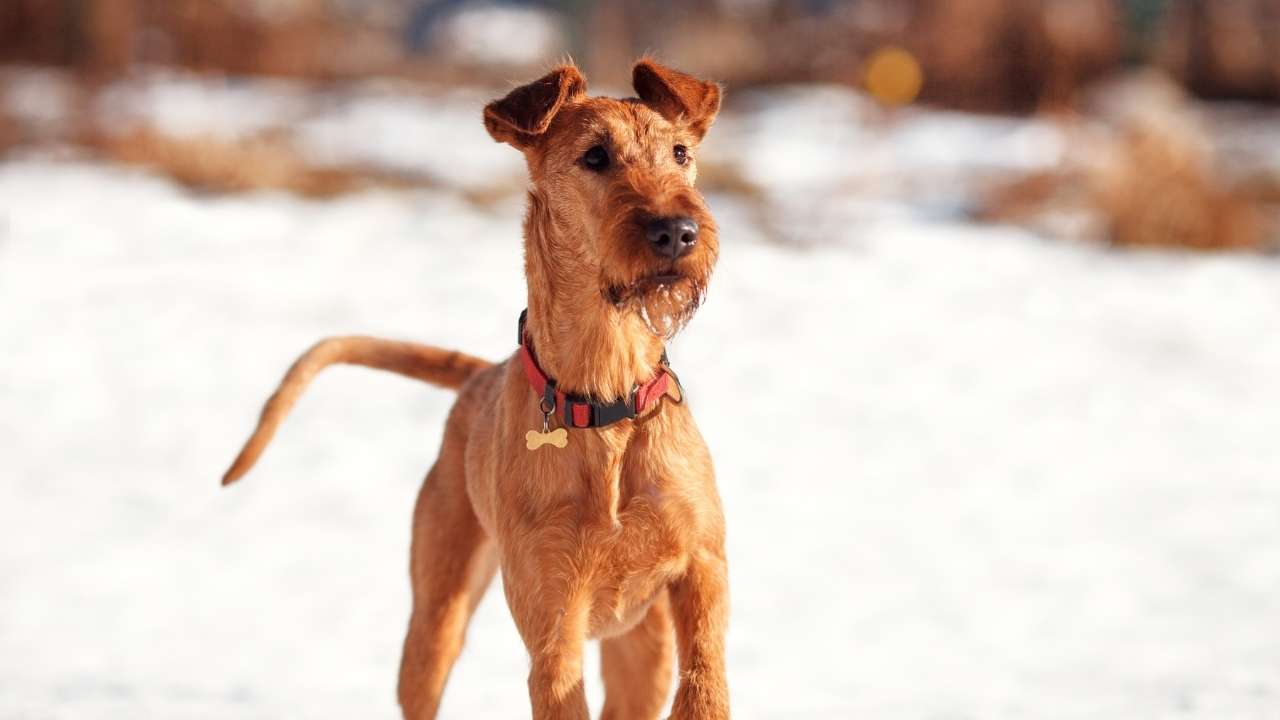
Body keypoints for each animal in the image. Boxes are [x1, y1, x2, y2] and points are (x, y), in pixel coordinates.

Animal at [222, 61, 732, 717]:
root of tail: (479, 374)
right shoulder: (554, 624)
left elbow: (706, 678)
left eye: (681, 153)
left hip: (639, 646)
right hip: (437, 619)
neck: (607, 403)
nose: (677, 232)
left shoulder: (702, 563)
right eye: (595, 156)